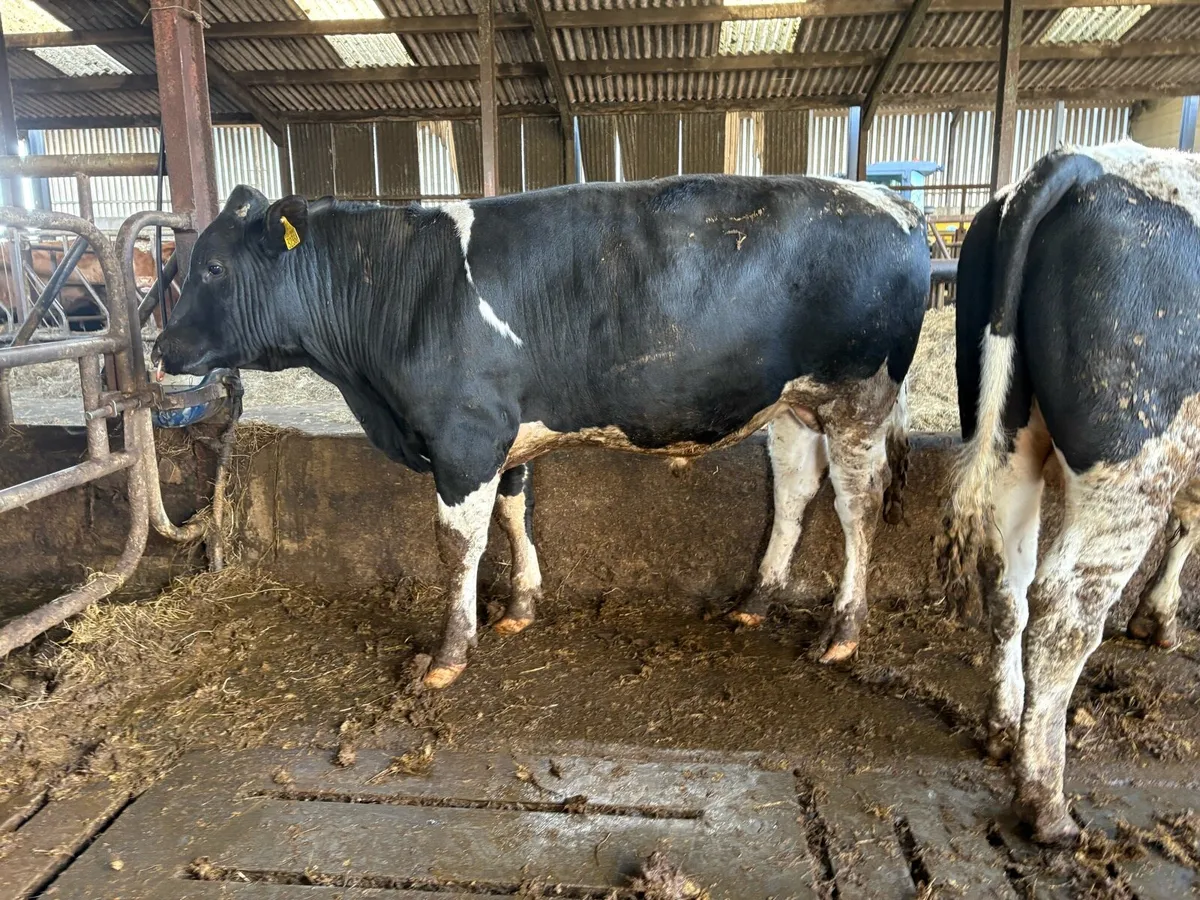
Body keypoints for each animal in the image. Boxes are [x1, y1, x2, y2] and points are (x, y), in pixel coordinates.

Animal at [152, 175, 929, 690]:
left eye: (213, 266)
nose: (160, 347)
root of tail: (893, 201)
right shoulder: (503, 434)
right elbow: (514, 510)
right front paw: (521, 607)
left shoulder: (464, 435)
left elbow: (458, 543)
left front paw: (447, 655)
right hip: (794, 405)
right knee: (795, 492)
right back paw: (755, 603)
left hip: (859, 395)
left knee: (857, 508)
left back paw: (841, 633)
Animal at [940, 141, 1200, 845]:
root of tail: (1080, 163)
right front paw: (1160, 617)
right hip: (1134, 455)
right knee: (1065, 607)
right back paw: (1045, 803)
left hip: (1007, 429)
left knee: (1008, 579)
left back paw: (1005, 727)